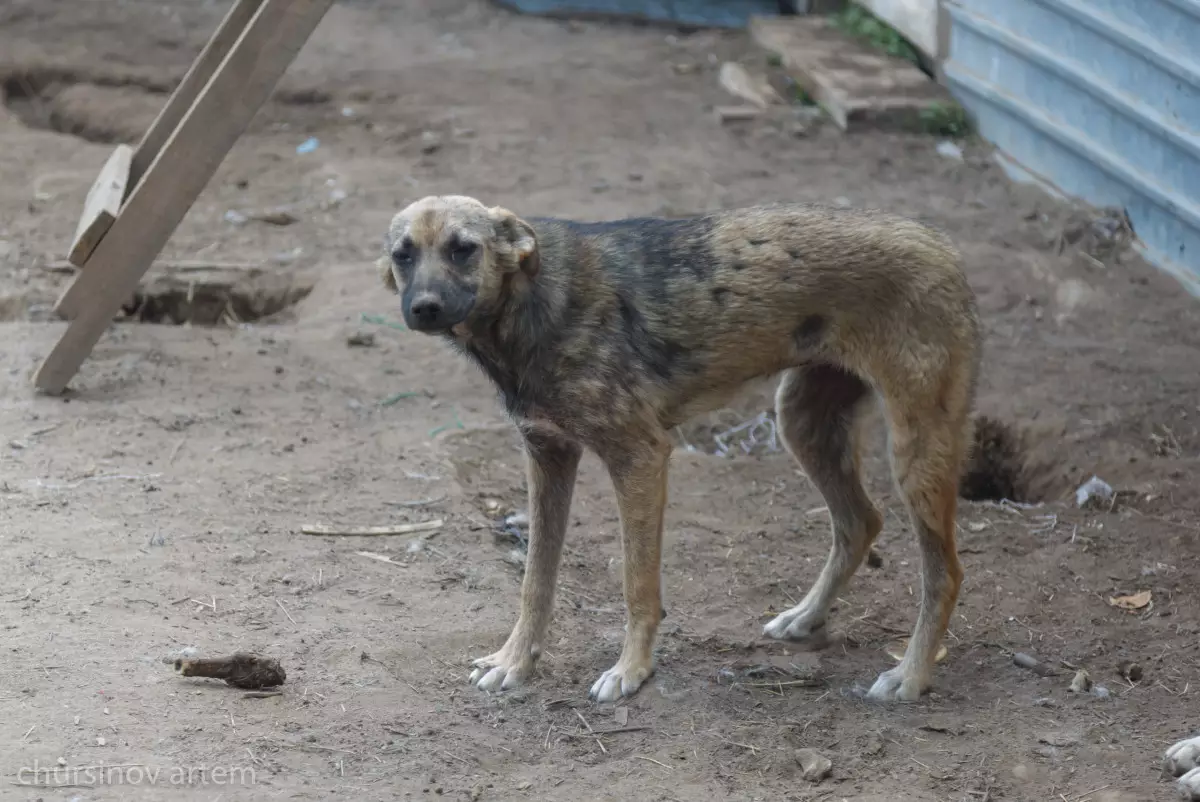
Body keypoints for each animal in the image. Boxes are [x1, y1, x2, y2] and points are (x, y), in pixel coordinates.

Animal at [381, 194, 984, 701]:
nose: (425, 308)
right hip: (802, 423)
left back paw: (910, 675)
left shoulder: (640, 457)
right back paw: (806, 618)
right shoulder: (547, 456)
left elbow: (637, 585)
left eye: (463, 248)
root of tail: (943, 244)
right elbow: (535, 582)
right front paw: (516, 661)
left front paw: (632, 671)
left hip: (914, 454)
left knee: (945, 574)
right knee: (860, 522)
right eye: (402, 255)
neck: (531, 304)